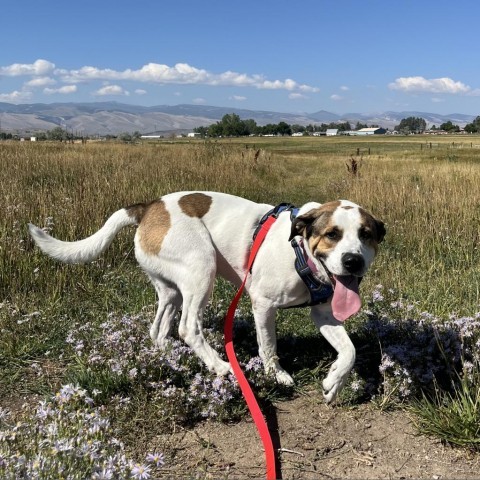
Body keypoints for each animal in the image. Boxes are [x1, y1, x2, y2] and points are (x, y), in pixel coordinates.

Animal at [28, 191, 384, 402]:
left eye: (366, 235)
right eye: (332, 234)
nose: (353, 261)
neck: (300, 250)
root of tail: (149, 208)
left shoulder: (323, 313)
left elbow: (349, 350)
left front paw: (334, 381)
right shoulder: (263, 305)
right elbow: (269, 347)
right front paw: (277, 375)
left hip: (171, 289)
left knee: (158, 329)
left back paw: (172, 359)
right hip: (202, 267)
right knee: (188, 327)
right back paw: (221, 366)